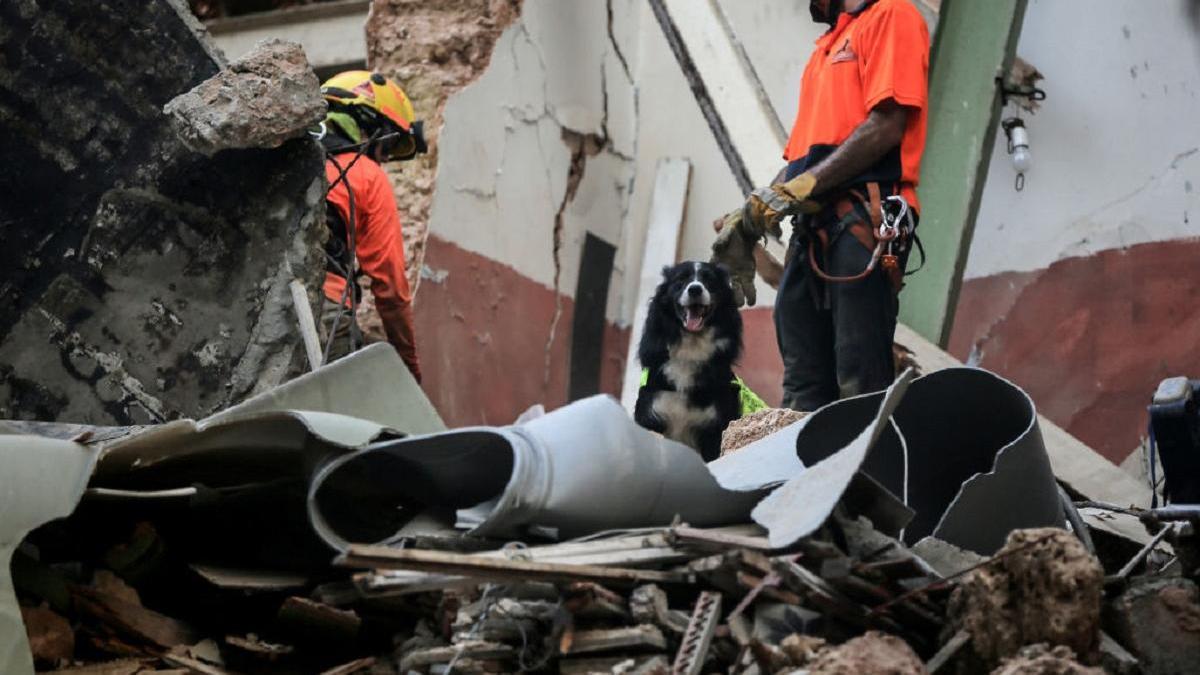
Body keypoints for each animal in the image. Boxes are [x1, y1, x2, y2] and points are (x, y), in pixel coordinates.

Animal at [638, 260, 739, 458]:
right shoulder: (652, 408)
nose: (695, 289)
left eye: (709, 280)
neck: (691, 348)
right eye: (680, 280)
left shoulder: (715, 424)